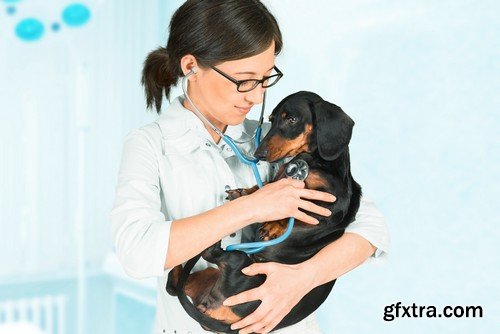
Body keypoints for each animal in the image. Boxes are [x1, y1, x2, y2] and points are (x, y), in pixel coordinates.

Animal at [167, 90, 360, 332]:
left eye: (291, 119)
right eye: (271, 119)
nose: (259, 153)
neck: (313, 161)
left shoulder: (331, 205)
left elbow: (297, 207)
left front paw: (273, 225)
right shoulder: (279, 181)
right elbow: (265, 188)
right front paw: (244, 194)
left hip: (239, 262)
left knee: (209, 256)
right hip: (208, 273)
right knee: (174, 284)